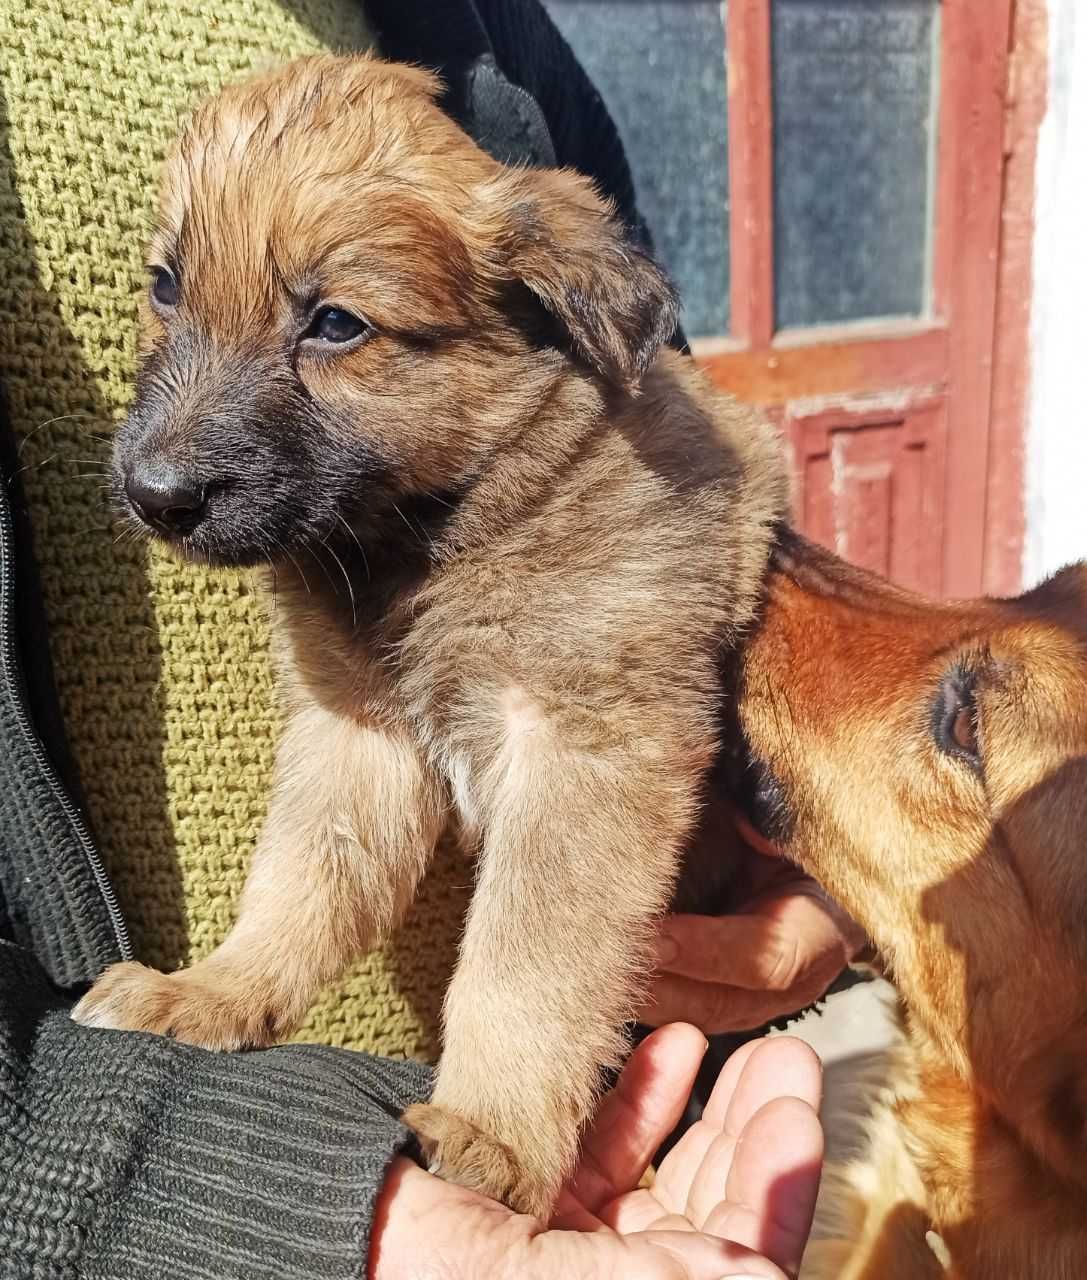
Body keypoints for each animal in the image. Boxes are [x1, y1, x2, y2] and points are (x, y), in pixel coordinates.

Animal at [74, 55, 788, 1213]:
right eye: (166, 286)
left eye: (336, 324)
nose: (153, 495)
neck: (438, 530)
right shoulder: (356, 730)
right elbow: (301, 877)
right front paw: (216, 990)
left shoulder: (585, 752)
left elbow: (524, 959)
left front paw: (494, 1131)